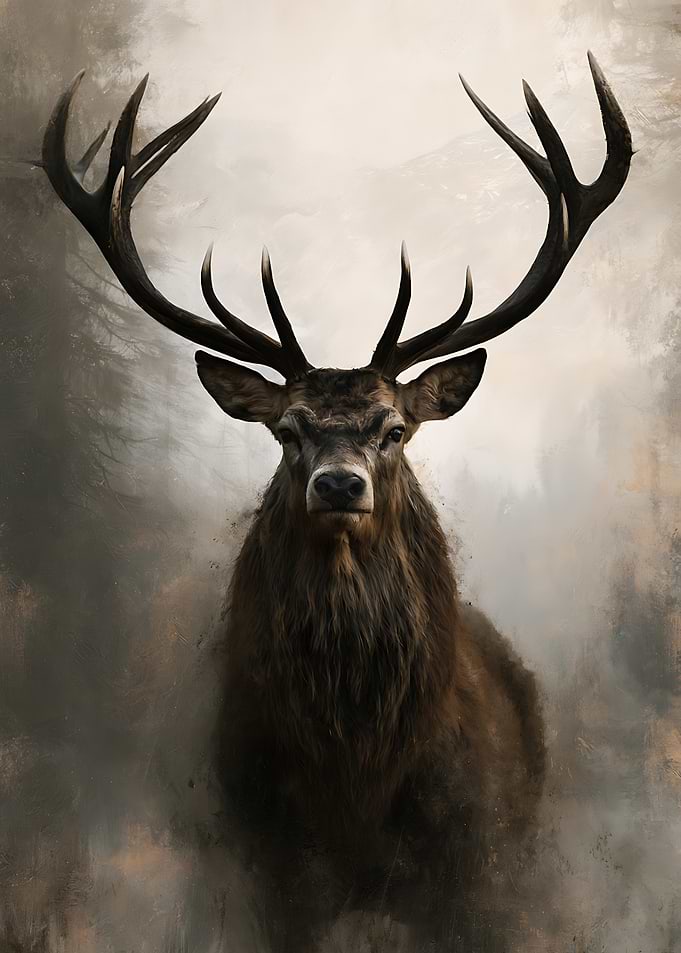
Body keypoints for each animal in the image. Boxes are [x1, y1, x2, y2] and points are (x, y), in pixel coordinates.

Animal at [42, 53, 631, 953]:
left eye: (394, 428)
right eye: (286, 429)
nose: (339, 483)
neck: (356, 774)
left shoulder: (470, 858)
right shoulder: (267, 855)